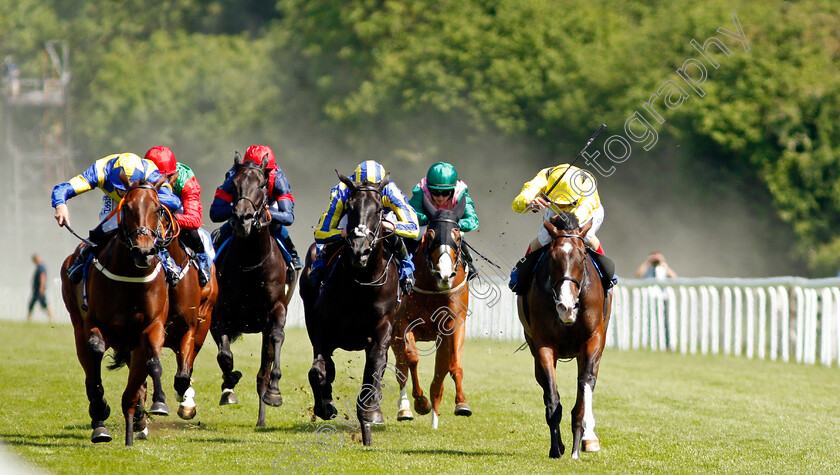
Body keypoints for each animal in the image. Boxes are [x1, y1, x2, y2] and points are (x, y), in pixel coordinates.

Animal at [62, 174, 176, 446]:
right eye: (128, 208)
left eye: (158, 208)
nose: (144, 251)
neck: (131, 276)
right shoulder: (94, 324)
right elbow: (95, 356)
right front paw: (100, 410)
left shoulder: (152, 326)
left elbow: (154, 361)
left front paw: (160, 402)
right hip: (77, 326)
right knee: (90, 372)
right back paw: (100, 425)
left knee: (133, 390)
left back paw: (136, 424)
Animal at [210, 152, 296, 428]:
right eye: (235, 184)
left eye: (262, 185)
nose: (243, 218)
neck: (250, 262)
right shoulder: (219, 313)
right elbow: (225, 356)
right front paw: (229, 384)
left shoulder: (276, 311)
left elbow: (276, 339)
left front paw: (275, 392)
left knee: (262, 373)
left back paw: (262, 417)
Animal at [302, 171, 404, 446]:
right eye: (349, 207)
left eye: (379, 209)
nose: (360, 250)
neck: (361, 285)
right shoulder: (322, 329)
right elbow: (317, 371)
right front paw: (325, 405)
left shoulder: (383, 326)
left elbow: (376, 364)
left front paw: (370, 412)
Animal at [394, 192, 472, 428]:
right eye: (429, 235)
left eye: (458, 237)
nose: (444, 274)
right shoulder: (403, 324)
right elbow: (411, 359)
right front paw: (420, 403)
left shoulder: (453, 324)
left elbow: (452, 366)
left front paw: (461, 404)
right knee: (401, 369)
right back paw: (405, 409)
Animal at [520, 212, 612, 458]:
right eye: (552, 258)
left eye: (582, 258)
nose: (566, 307)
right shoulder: (543, 344)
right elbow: (552, 397)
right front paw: (556, 448)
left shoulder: (593, 340)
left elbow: (585, 384)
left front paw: (582, 441)